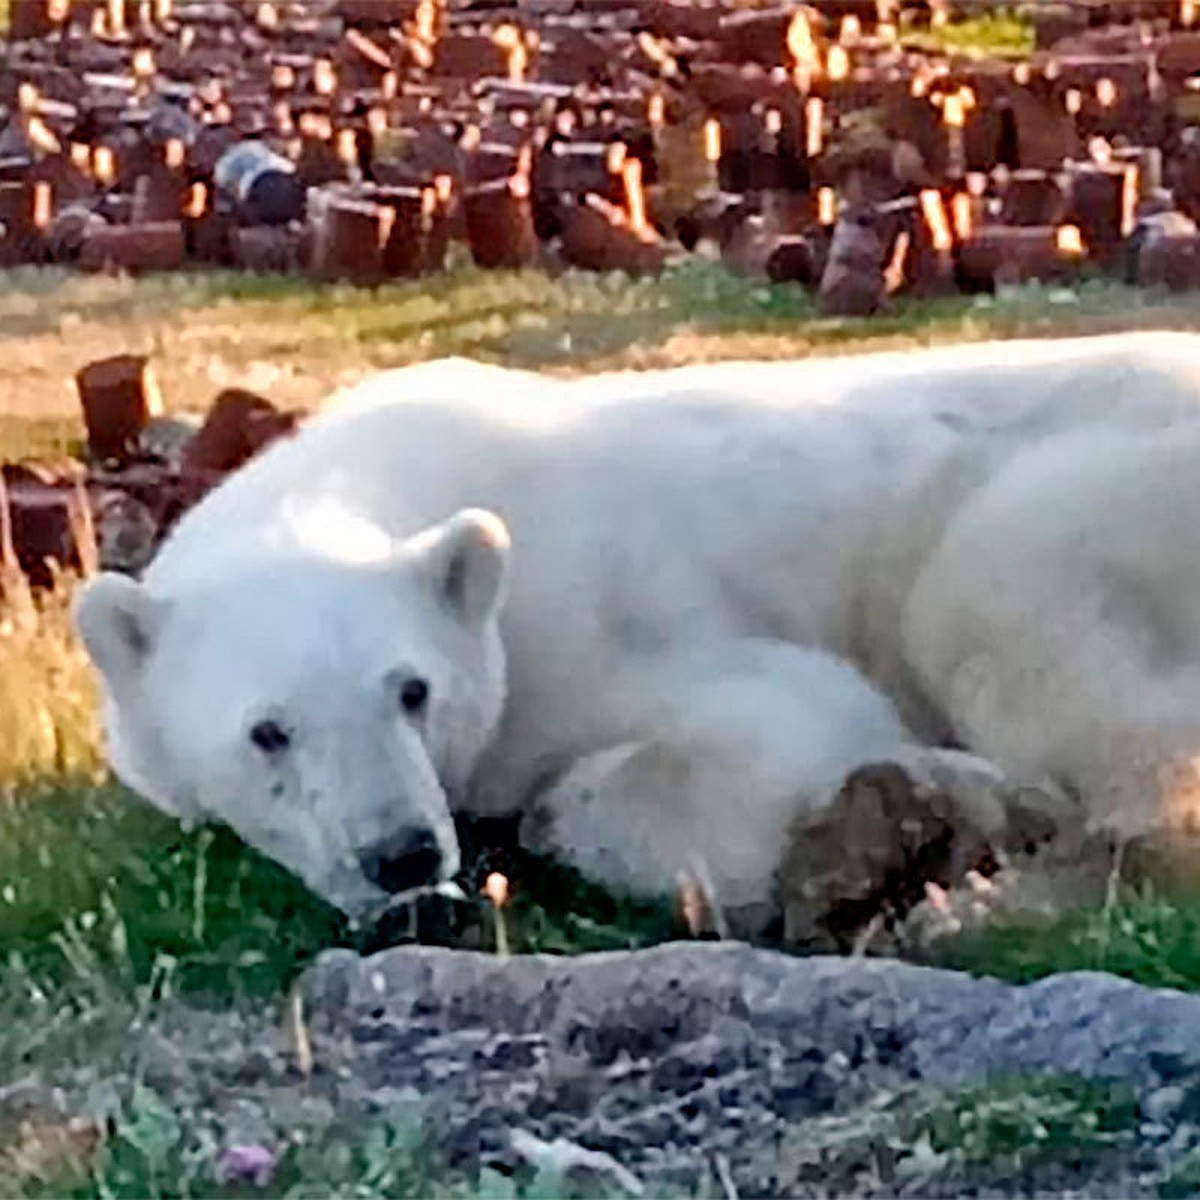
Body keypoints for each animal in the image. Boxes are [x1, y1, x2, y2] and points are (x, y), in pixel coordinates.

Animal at [72, 333, 1200, 921]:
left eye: (413, 690)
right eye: (268, 731)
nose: (400, 856)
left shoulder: (596, 615)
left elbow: (788, 722)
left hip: (1085, 491)